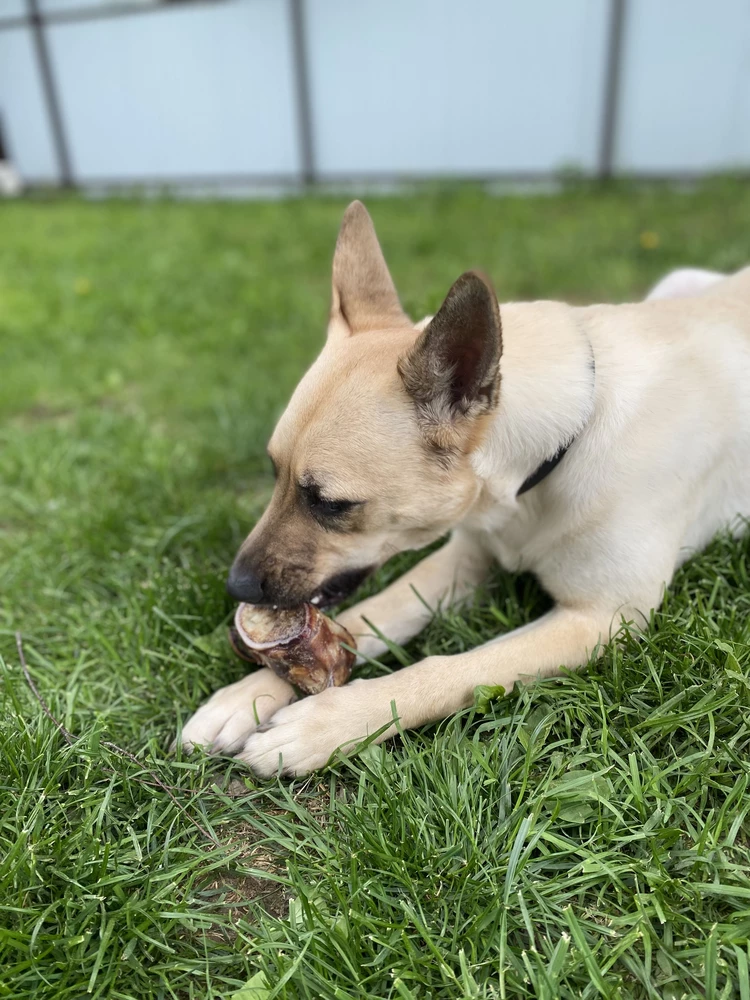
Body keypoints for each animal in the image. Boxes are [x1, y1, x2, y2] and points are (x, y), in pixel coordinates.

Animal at [178, 199, 750, 776]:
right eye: (274, 471)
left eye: (330, 503)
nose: (235, 587)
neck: (562, 442)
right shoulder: (466, 557)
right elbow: (371, 613)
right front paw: (247, 695)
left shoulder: (601, 618)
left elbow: (449, 668)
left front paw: (328, 723)